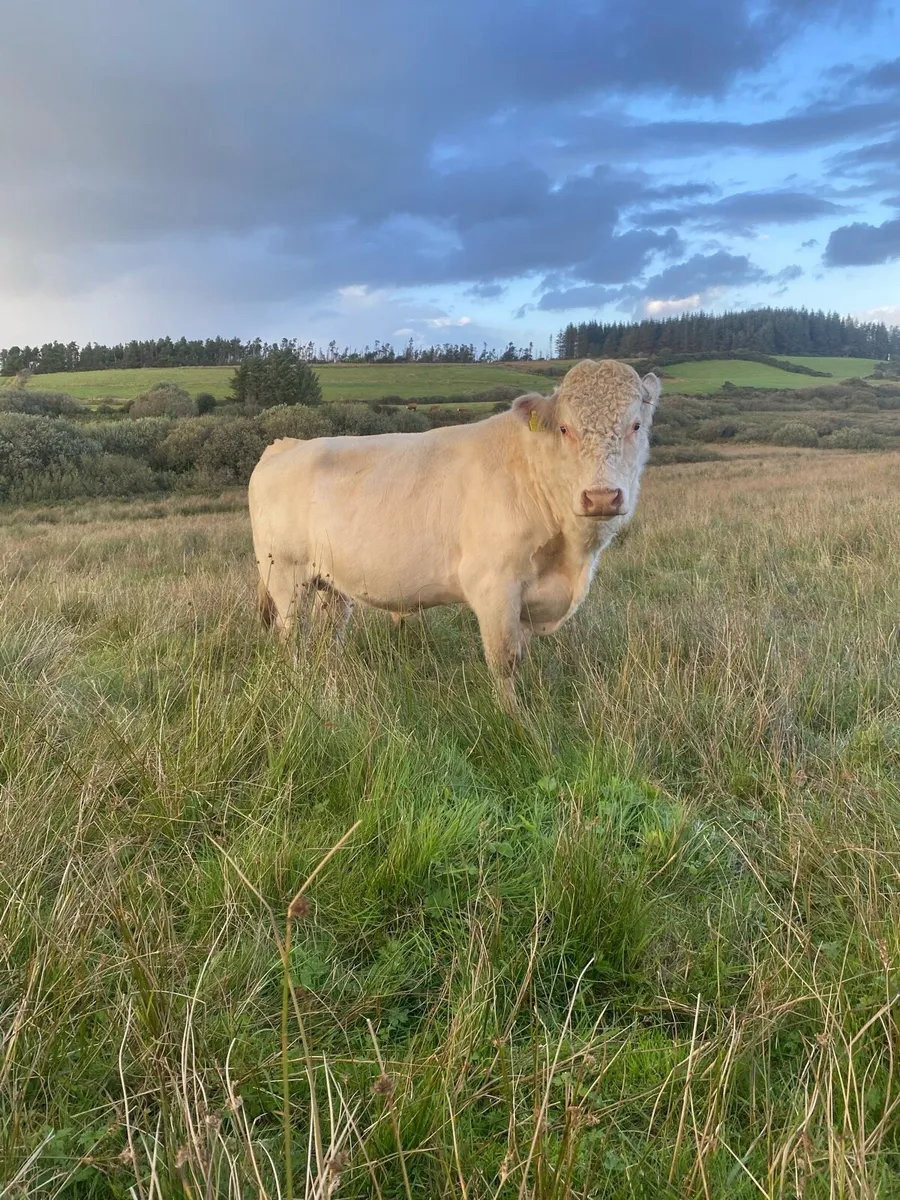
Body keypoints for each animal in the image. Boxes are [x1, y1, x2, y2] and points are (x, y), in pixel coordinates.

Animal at [249, 359, 661, 708]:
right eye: (565, 429)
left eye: (636, 426)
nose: (601, 496)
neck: (570, 557)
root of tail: (287, 445)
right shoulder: (493, 584)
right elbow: (504, 660)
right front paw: (514, 721)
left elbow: (521, 656)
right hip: (284, 574)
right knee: (292, 638)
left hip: (331, 583)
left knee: (329, 635)